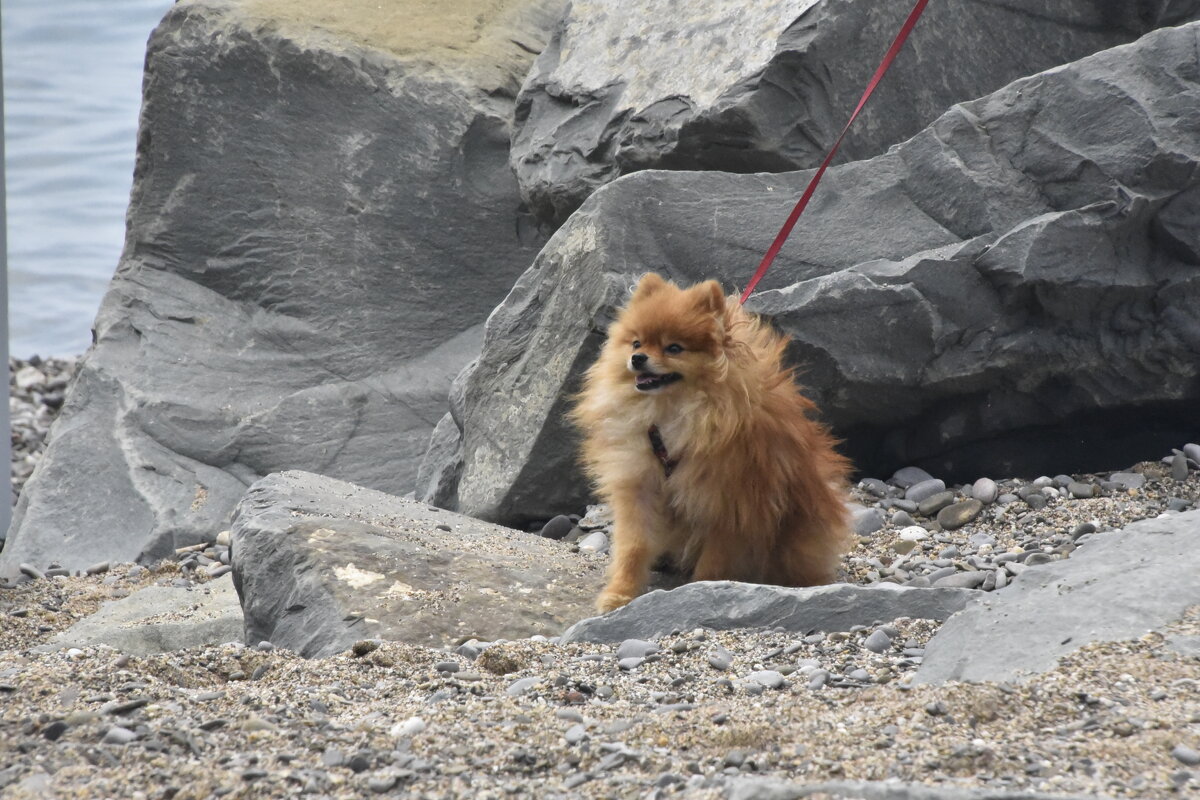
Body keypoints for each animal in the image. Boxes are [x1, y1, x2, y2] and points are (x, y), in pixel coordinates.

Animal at [571, 271, 854, 614]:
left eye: (674, 348)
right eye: (636, 342)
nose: (637, 358)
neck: (676, 412)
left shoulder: (730, 501)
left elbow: (716, 559)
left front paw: (702, 592)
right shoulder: (641, 486)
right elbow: (634, 546)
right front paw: (620, 594)